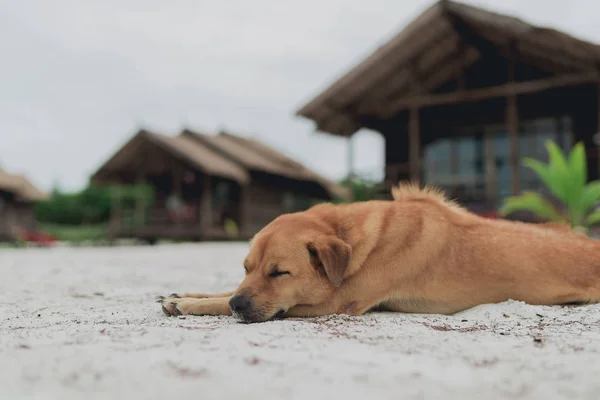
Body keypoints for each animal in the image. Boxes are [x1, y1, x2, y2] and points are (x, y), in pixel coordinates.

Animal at [158, 183, 600, 324]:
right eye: (247, 267)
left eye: (279, 273)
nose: (239, 304)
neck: (352, 237)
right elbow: (216, 291)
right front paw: (183, 295)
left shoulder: (332, 304)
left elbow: (219, 302)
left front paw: (196, 305)